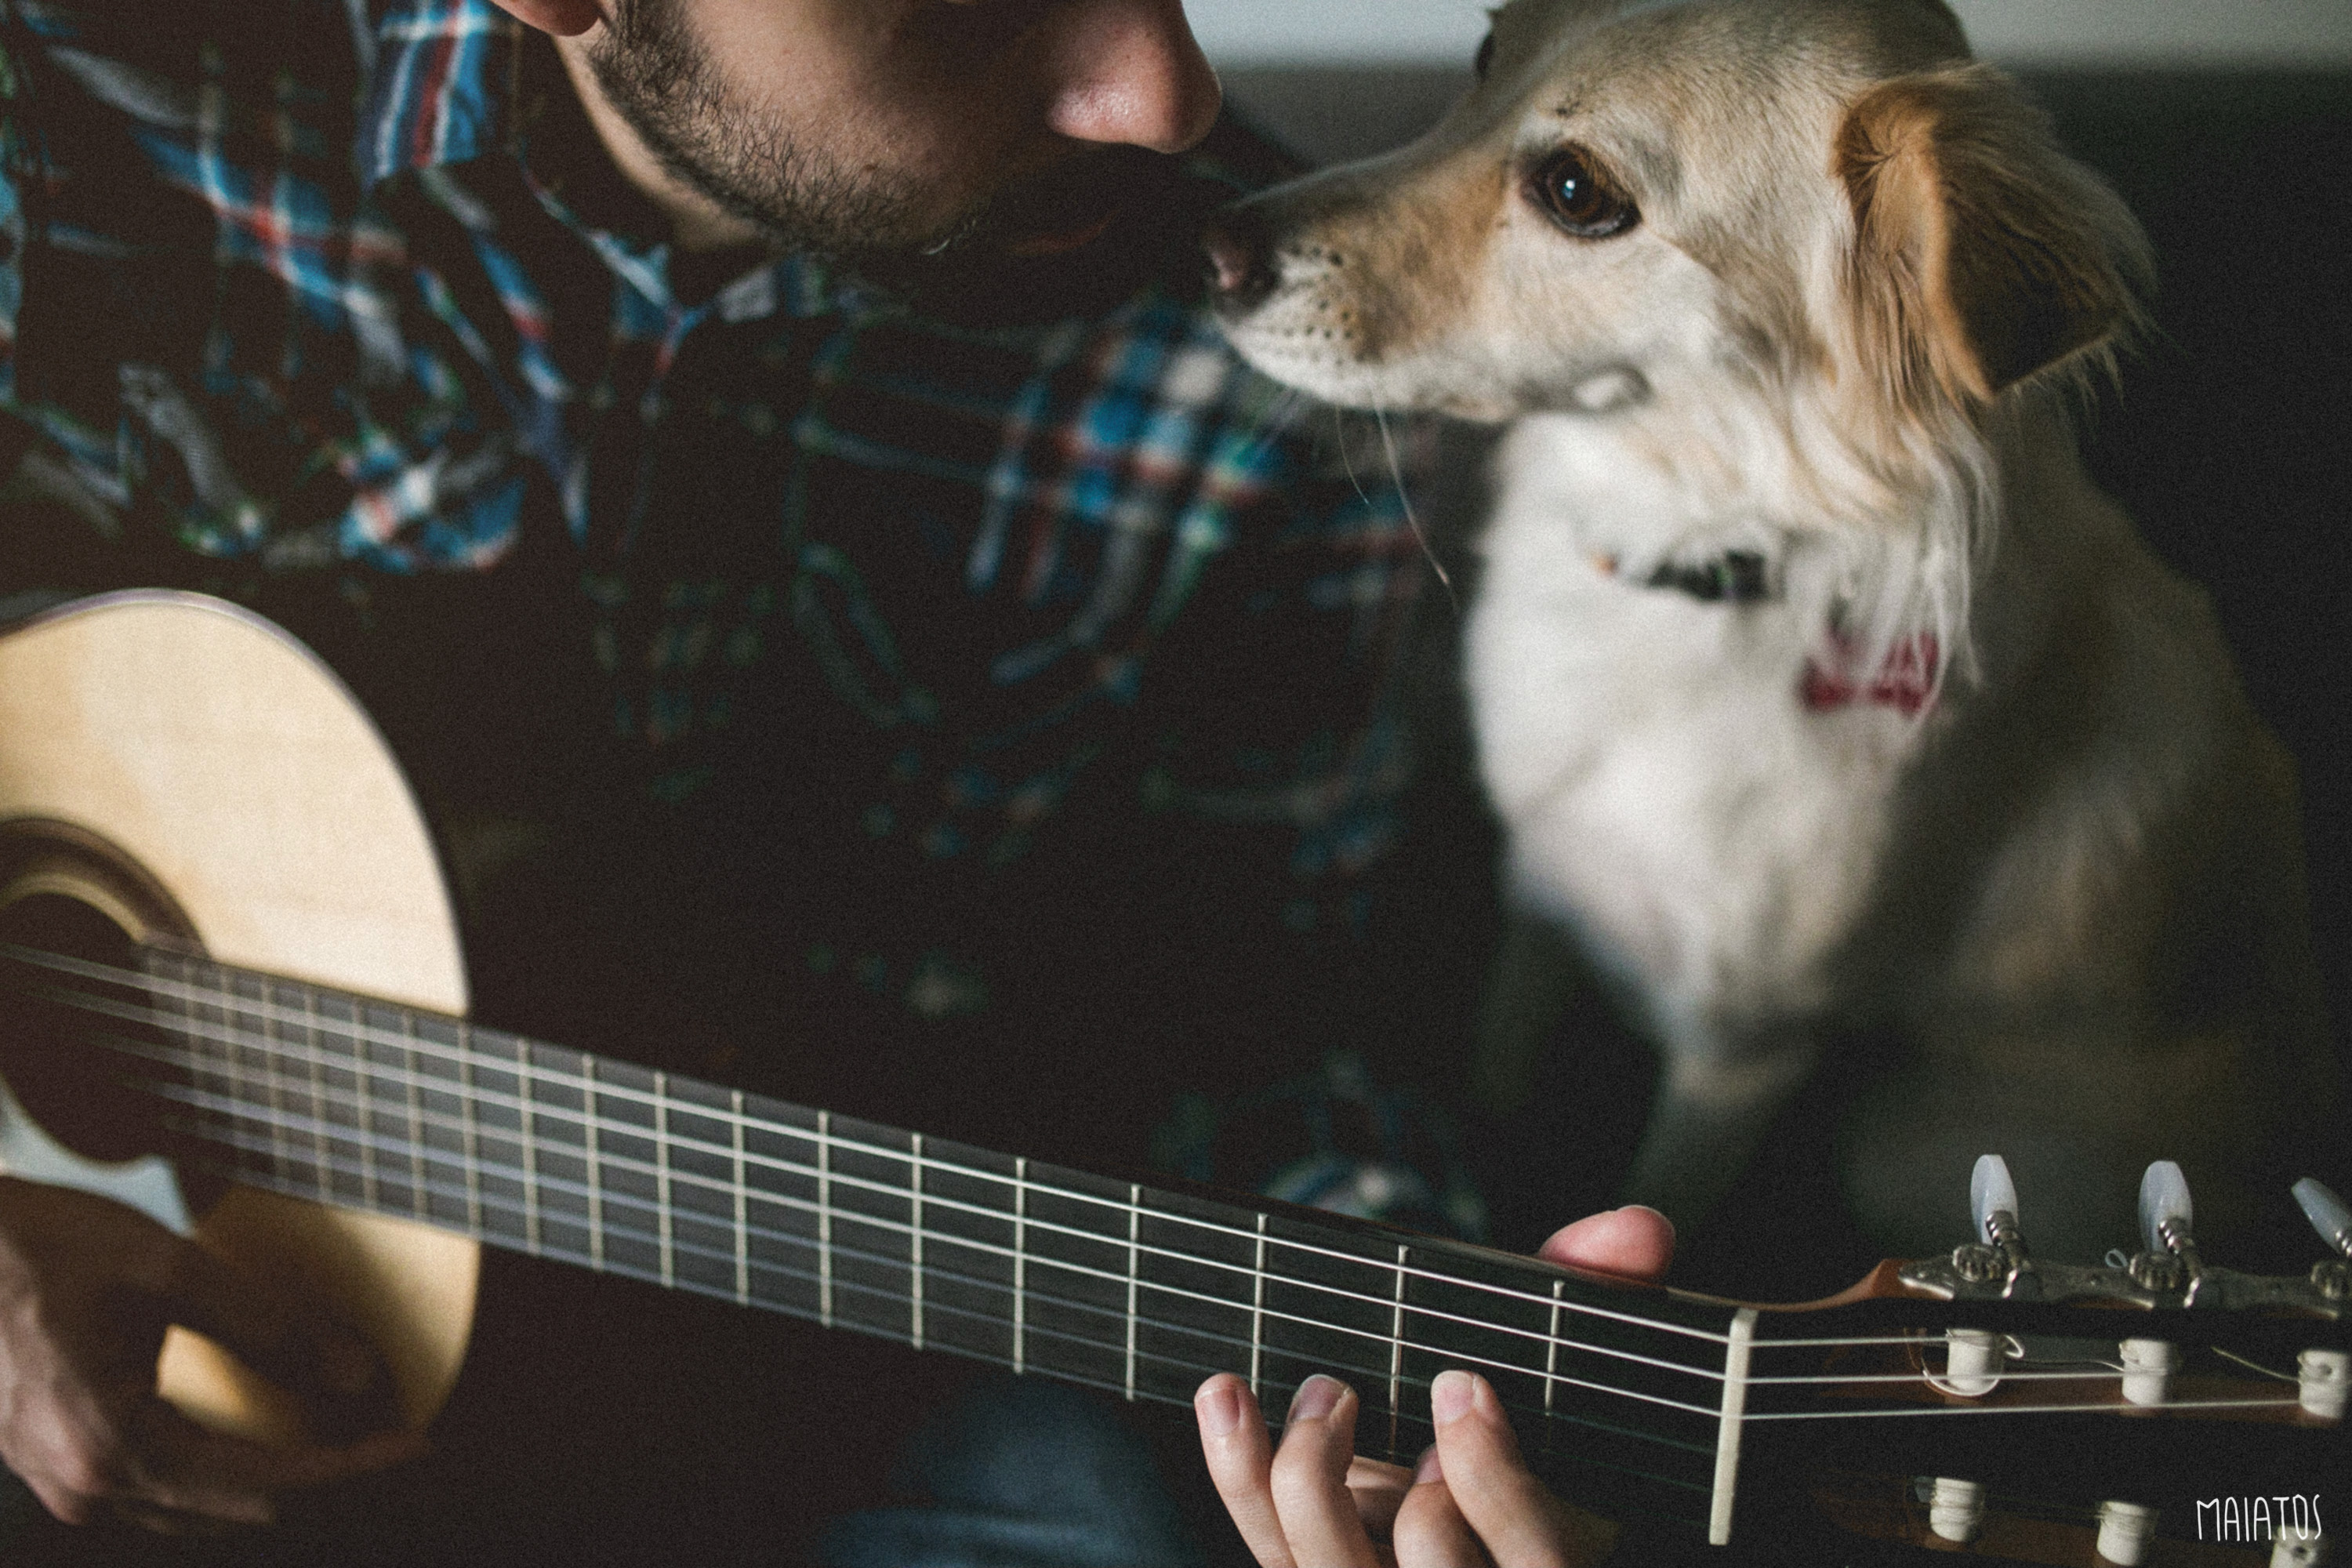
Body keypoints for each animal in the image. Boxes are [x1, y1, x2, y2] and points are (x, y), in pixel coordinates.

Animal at [1214, 0, 2333, 1260]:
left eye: (1574, 189)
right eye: (1486, 55)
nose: (1217, 246)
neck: (1690, 566)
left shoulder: (1737, 1054)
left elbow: (1661, 1189)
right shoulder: (1546, 898)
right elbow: (1497, 1062)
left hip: (1899, 1144)